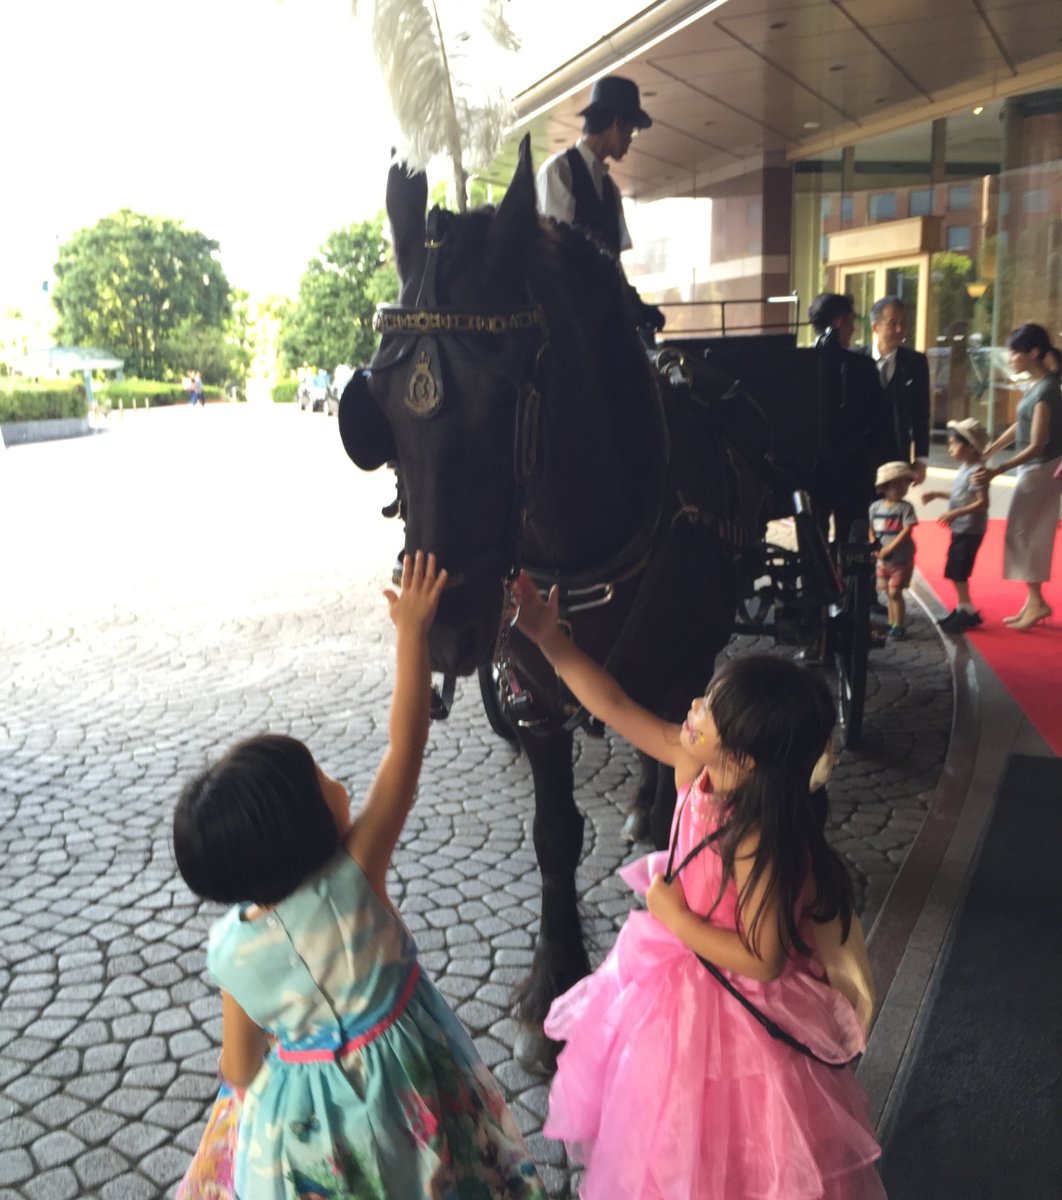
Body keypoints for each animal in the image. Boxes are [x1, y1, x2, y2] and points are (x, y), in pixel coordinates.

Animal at [340, 140, 763, 1070]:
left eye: (505, 401)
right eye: (374, 412)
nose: (443, 632)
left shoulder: (682, 663)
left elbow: (677, 772)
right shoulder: (535, 691)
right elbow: (554, 833)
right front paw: (554, 978)